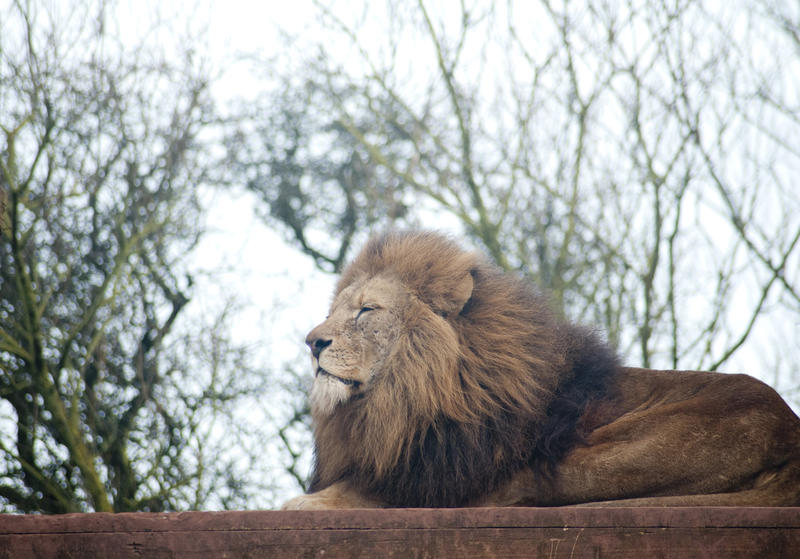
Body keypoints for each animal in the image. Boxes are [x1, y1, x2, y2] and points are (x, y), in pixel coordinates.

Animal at [282, 230, 800, 510]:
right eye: (334, 311)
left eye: (367, 310)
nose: (312, 341)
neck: (400, 402)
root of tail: (789, 430)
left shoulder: (437, 473)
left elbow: (361, 491)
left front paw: (302, 500)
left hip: (606, 452)